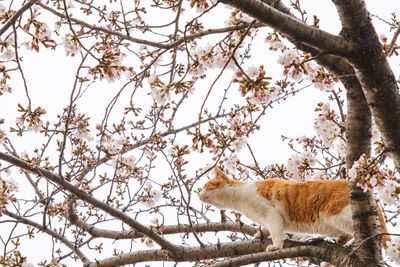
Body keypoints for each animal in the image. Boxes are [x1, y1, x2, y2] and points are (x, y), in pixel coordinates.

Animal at [198, 166, 390, 252]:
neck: (240, 198)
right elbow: (268, 229)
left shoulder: (272, 215)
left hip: (337, 214)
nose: (198, 193)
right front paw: (260, 234)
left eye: (206, 185)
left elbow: (277, 233)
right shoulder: (266, 219)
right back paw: (341, 240)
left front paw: (275, 246)